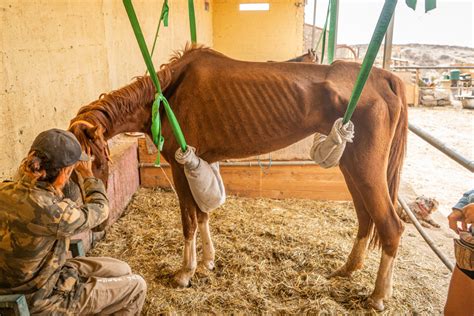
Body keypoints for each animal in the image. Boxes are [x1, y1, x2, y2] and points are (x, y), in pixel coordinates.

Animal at [69, 45, 408, 312]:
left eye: (92, 162)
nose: (97, 223)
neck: (168, 94)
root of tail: (384, 78)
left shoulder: (181, 167)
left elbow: (189, 221)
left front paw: (185, 272)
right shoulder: (199, 164)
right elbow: (203, 215)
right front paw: (207, 262)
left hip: (365, 169)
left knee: (391, 225)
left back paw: (378, 296)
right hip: (351, 166)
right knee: (365, 217)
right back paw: (347, 269)